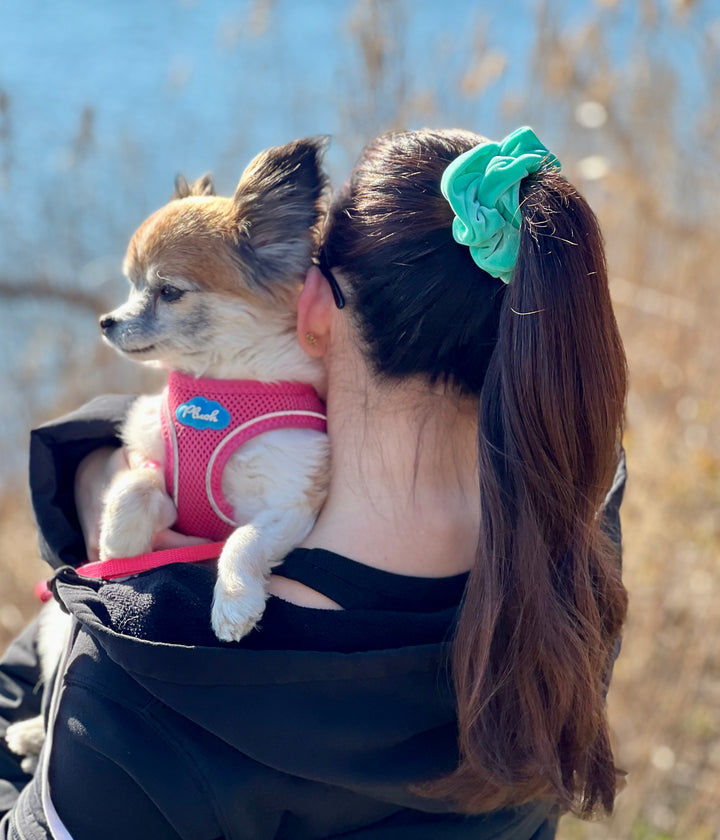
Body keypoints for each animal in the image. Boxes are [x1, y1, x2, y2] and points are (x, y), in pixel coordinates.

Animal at [4, 136, 330, 768]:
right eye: (131, 285)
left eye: (168, 291)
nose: (106, 321)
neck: (220, 390)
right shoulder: (153, 457)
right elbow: (133, 489)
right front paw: (120, 548)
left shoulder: (291, 500)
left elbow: (241, 541)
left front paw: (233, 603)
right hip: (55, 626)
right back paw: (30, 734)